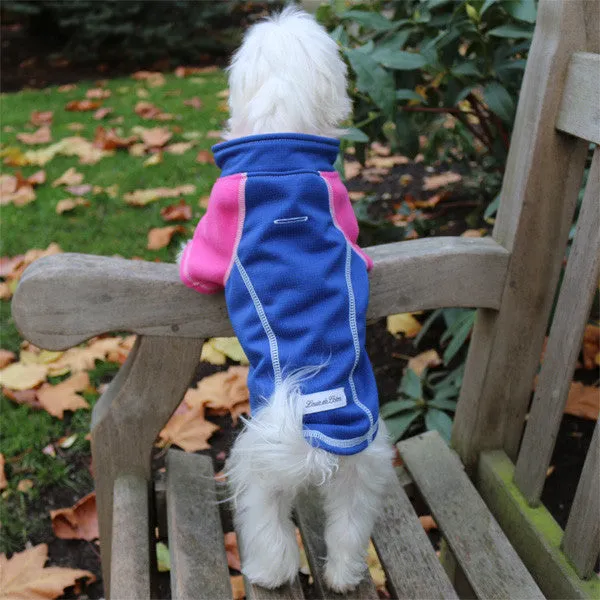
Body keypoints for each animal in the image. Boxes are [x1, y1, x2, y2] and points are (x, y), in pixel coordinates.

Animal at [183, 7, 398, 592]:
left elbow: (194, 262)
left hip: (258, 472)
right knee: (348, 531)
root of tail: (313, 436)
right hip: (361, 471)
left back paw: (267, 571)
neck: (283, 155)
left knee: (269, 533)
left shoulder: (219, 219)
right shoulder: (340, 201)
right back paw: (344, 576)